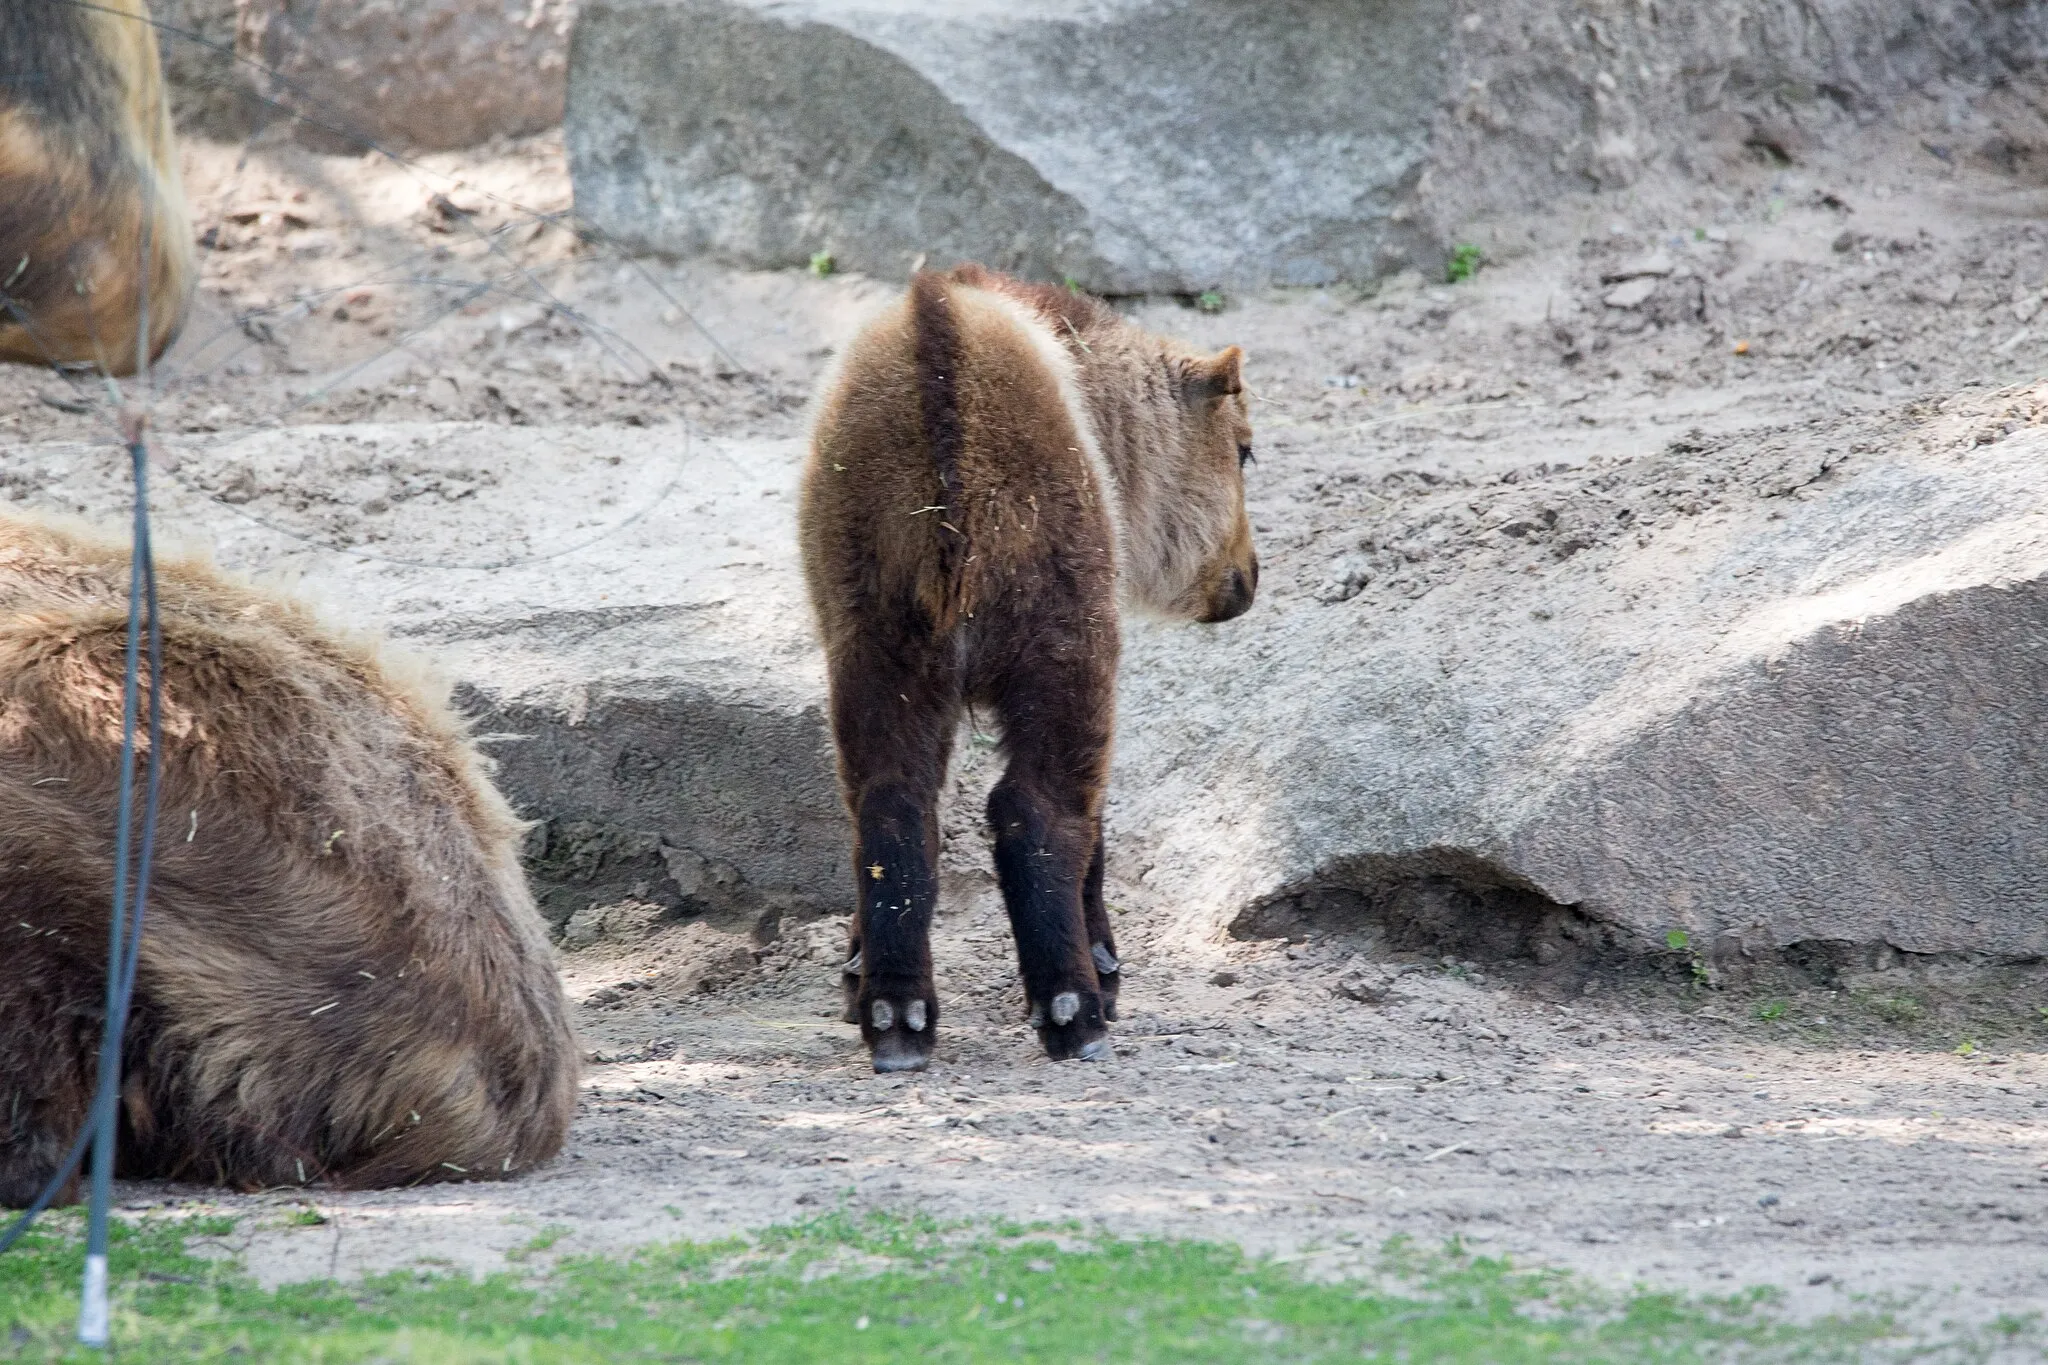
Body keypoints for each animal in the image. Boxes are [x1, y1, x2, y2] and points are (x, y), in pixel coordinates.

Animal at [802, 266, 1261, 1072]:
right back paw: (1075, 1009)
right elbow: (1091, 832)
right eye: (1243, 450)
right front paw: (1105, 970)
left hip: (879, 657)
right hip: (1065, 653)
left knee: (894, 810)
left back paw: (895, 1014)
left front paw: (854, 972)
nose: (1249, 576)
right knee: (1036, 812)